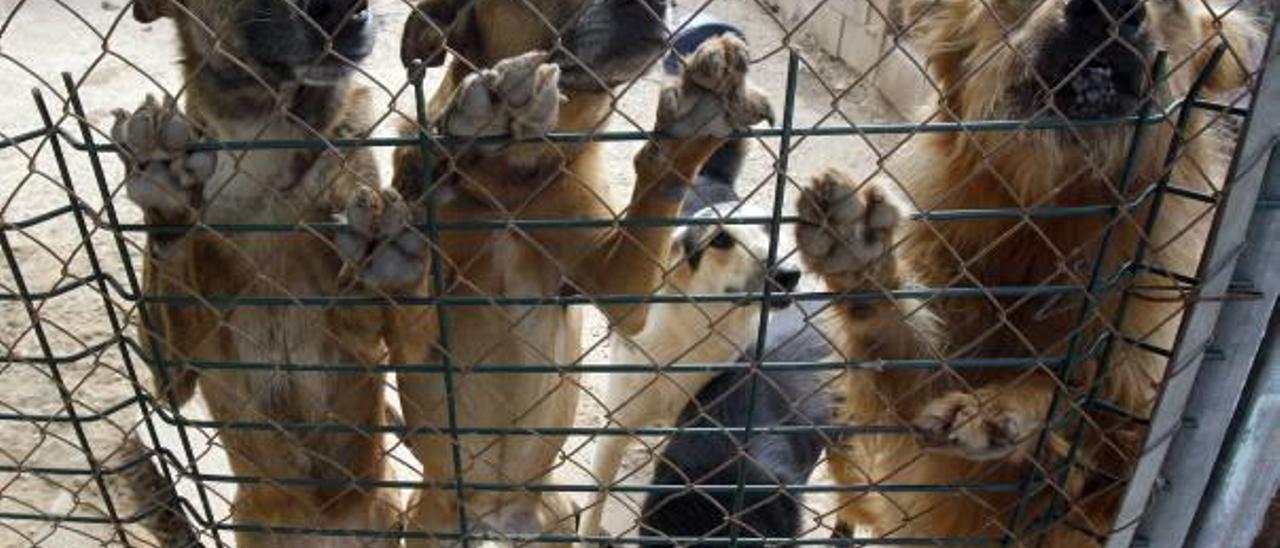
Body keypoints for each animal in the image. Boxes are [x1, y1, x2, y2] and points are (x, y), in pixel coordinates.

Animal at [114, 2, 414, 545]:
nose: (345, 11)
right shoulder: (172, 380)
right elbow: (168, 262)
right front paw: (164, 185)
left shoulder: (360, 340)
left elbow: (356, 290)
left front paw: (375, 251)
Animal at [386, 0, 768, 542]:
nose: (655, 6)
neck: (513, 176)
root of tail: (493, 516)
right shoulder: (418, 338)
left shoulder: (624, 295)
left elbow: (659, 179)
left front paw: (694, 122)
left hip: (559, 514)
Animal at [788, 0, 1259, 542]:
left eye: (1174, 9)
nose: (1109, 9)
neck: (1046, 228)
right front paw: (866, 267)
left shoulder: (1133, 444)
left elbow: (1086, 403)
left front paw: (1006, 407)